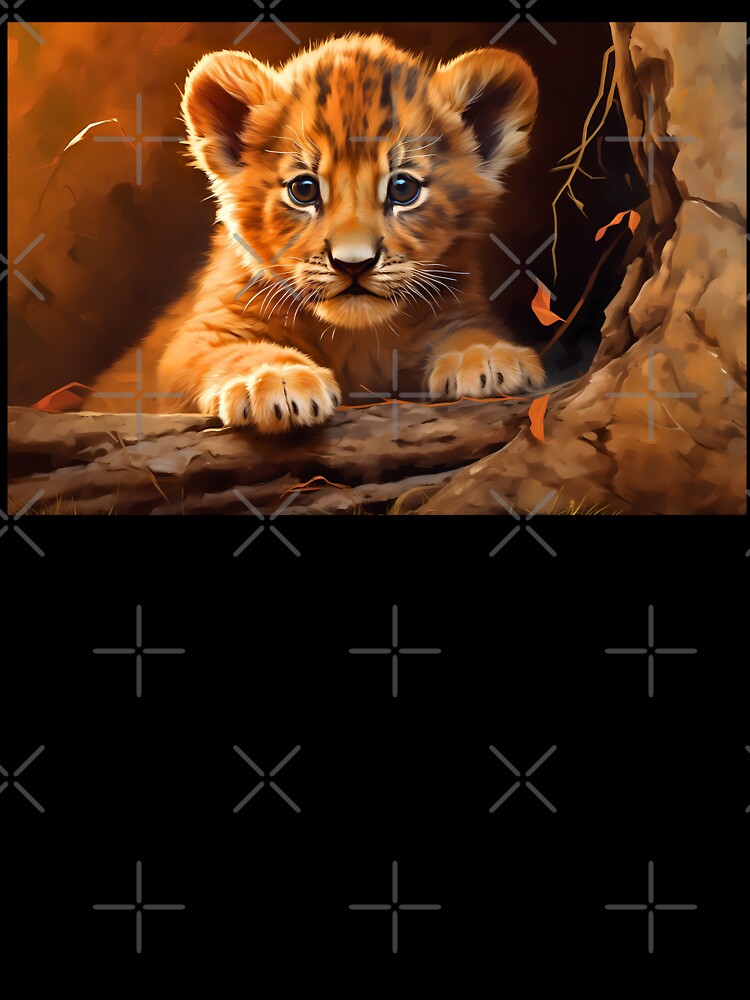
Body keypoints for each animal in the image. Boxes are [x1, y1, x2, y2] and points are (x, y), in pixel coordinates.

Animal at [91, 34, 544, 432]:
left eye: (403, 188)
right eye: (304, 190)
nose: (353, 264)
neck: (356, 337)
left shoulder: (456, 305)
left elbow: (466, 329)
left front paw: (487, 358)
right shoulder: (202, 334)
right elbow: (230, 352)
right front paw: (276, 382)